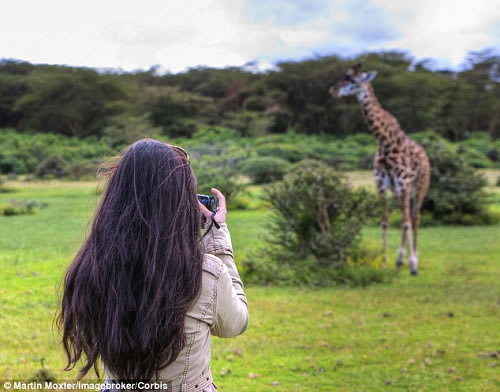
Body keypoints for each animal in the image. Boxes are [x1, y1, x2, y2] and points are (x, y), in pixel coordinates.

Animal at [328, 64, 430, 276]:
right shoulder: (382, 184)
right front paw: (385, 262)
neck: (384, 141)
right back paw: (400, 260)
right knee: (405, 215)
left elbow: (407, 222)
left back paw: (415, 257)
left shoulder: (403, 182)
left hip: (419, 186)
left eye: (353, 80)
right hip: (399, 190)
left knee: (415, 217)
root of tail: (426, 155)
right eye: (344, 75)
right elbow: (385, 220)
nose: (332, 90)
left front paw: (413, 264)